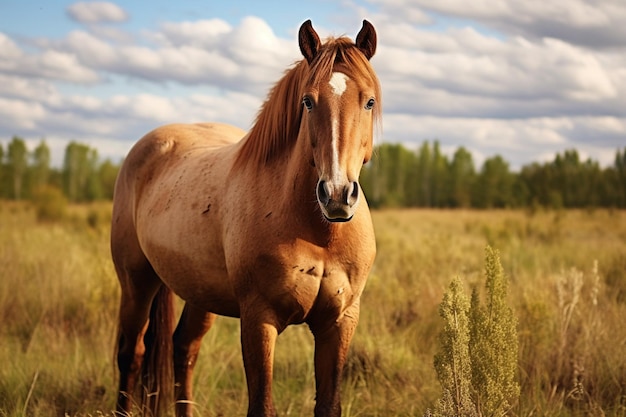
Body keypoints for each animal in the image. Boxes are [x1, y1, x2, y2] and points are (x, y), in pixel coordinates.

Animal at [109, 19, 378, 416]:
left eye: (369, 101)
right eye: (307, 101)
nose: (337, 195)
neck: (317, 233)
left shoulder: (339, 323)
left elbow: (329, 405)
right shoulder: (258, 320)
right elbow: (261, 404)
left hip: (198, 293)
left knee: (183, 349)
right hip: (136, 283)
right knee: (132, 354)